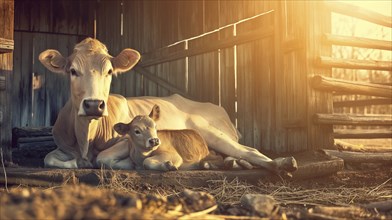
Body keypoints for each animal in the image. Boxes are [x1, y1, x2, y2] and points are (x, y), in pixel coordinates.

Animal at [39, 37, 298, 175]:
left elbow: (103, 158)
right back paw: (231, 163)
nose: (94, 105)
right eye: (72, 71)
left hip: (210, 131)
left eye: (110, 71)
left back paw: (283, 163)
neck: (86, 137)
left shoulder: (124, 141)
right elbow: (48, 158)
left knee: (249, 150)